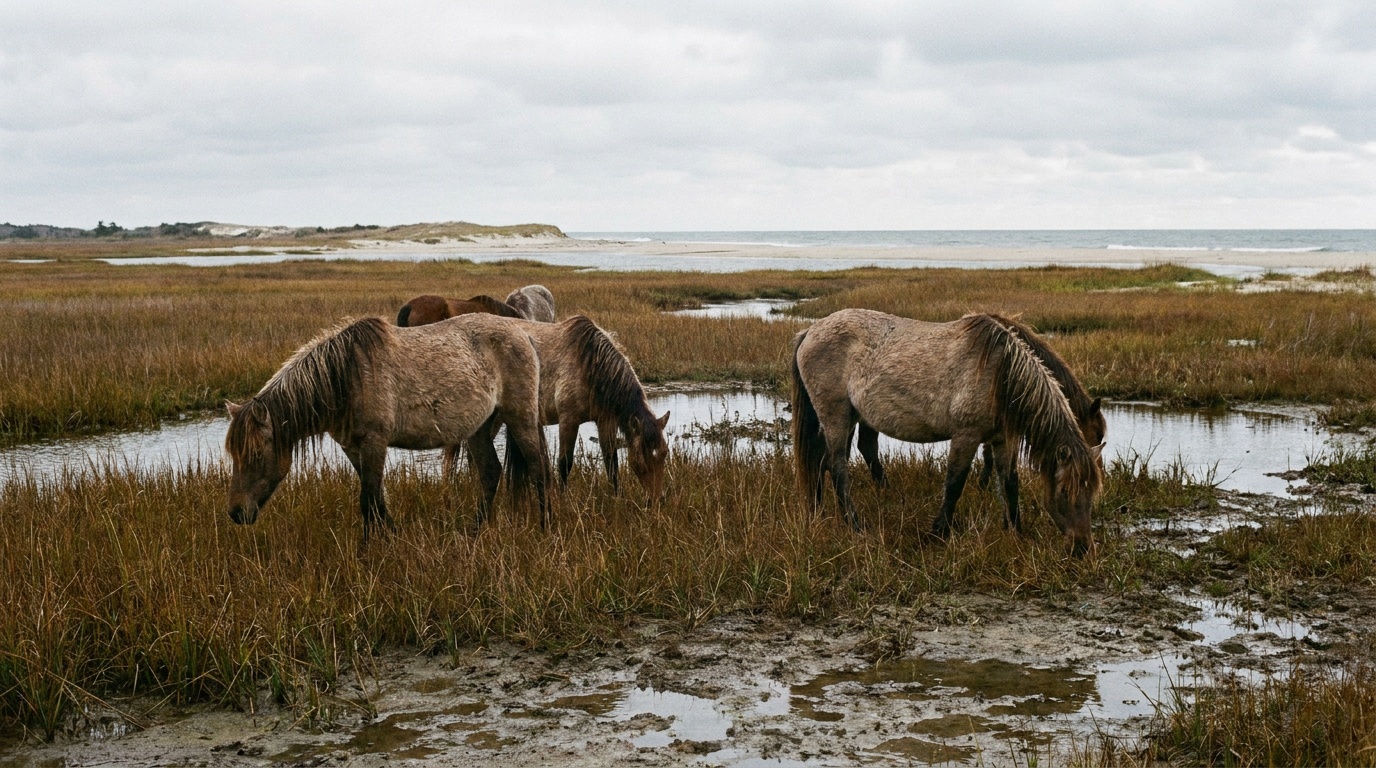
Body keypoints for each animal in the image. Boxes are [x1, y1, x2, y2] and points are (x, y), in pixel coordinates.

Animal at [224, 315, 551, 542]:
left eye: (255, 456)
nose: (236, 513)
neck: (347, 377)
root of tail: (524, 335)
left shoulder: (374, 442)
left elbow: (368, 501)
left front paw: (368, 553)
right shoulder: (353, 448)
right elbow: (377, 498)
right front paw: (392, 539)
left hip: (520, 417)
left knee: (538, 470)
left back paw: (545, 529)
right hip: (479, 428)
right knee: (490, 473)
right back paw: (472, 532)